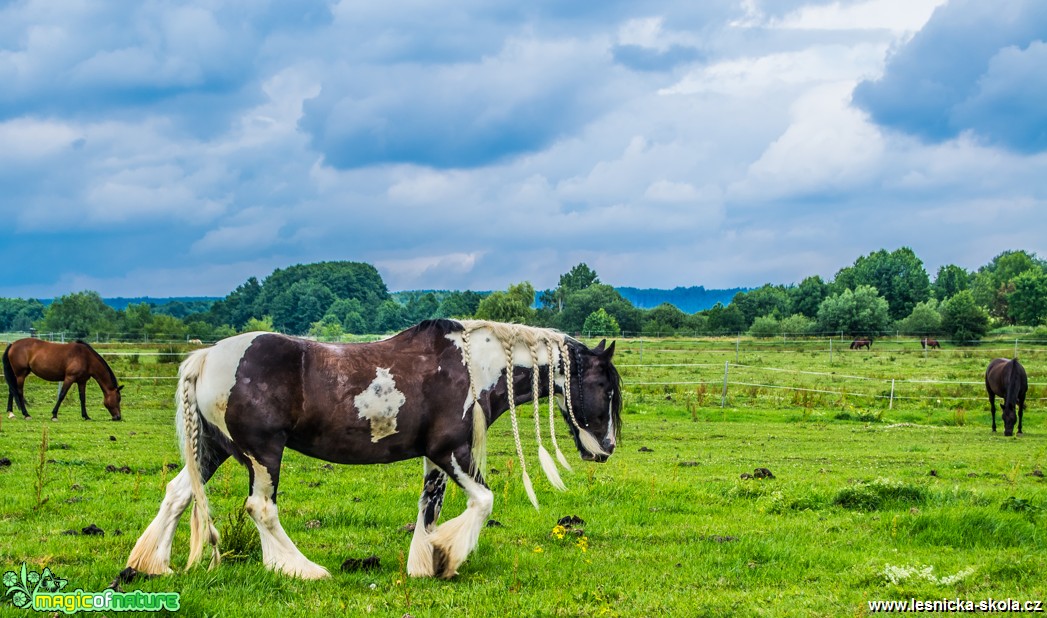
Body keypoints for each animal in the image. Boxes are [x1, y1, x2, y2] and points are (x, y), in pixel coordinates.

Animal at [125, 320, 615, 582]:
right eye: (607, 388)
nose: (606, 449)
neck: (473, 366)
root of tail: (206, 357)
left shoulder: (435, 458)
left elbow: (429, 510)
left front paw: (426, 563)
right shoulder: (451, 451)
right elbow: (483, 501)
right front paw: (447, 557)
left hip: (214, 447)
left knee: (178, 493)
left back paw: (152, 565)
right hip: (263, 454)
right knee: (261, 508)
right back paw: (300, 569)